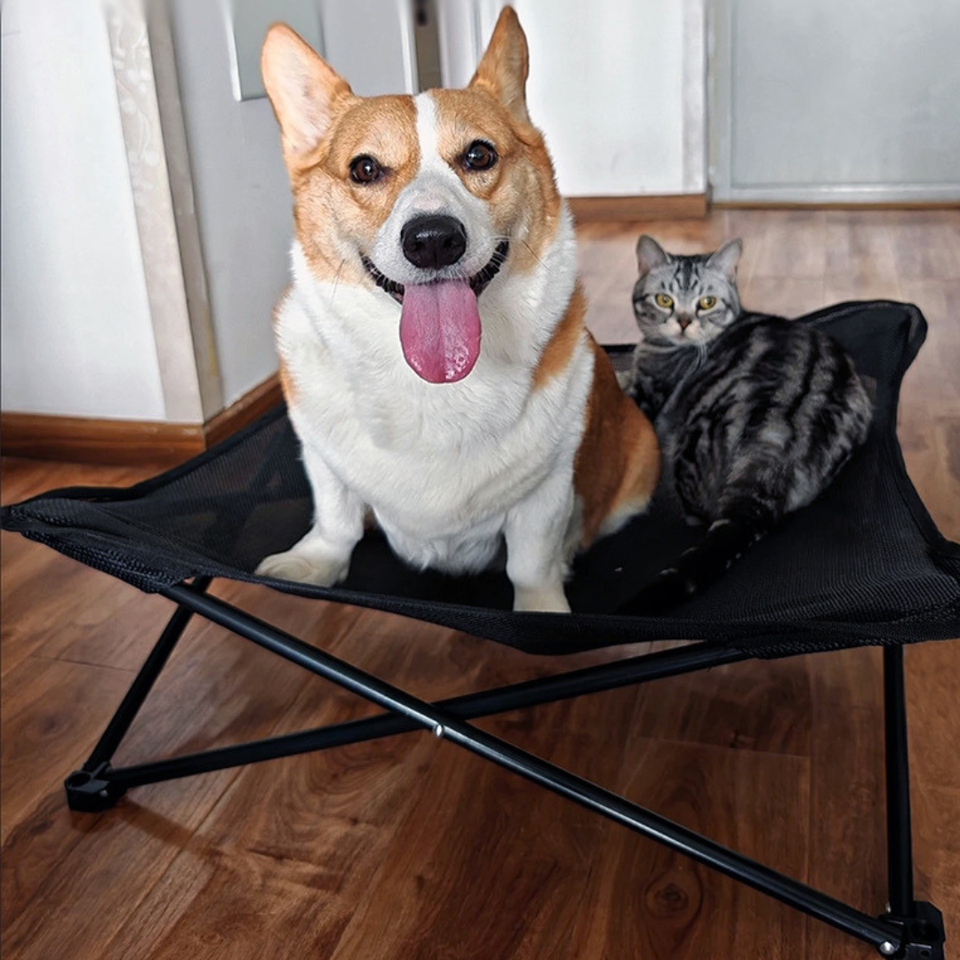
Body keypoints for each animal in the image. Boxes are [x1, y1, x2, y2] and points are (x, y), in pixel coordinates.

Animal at [255, 7, 659, 613]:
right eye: (365, 169)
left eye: (478, 155)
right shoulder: (323, 461)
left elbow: (531, 563)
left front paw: (543, 612)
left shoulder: (546, 489)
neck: (433, 385)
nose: (432, 241)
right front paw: (314, 563)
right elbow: (336, 517)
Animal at [620, 234, 873, 613]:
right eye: (665, 300)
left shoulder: (648, 391)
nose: (683, 322)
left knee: (698, 514)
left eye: (706, 303)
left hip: (690, 443)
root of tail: (775, 448)